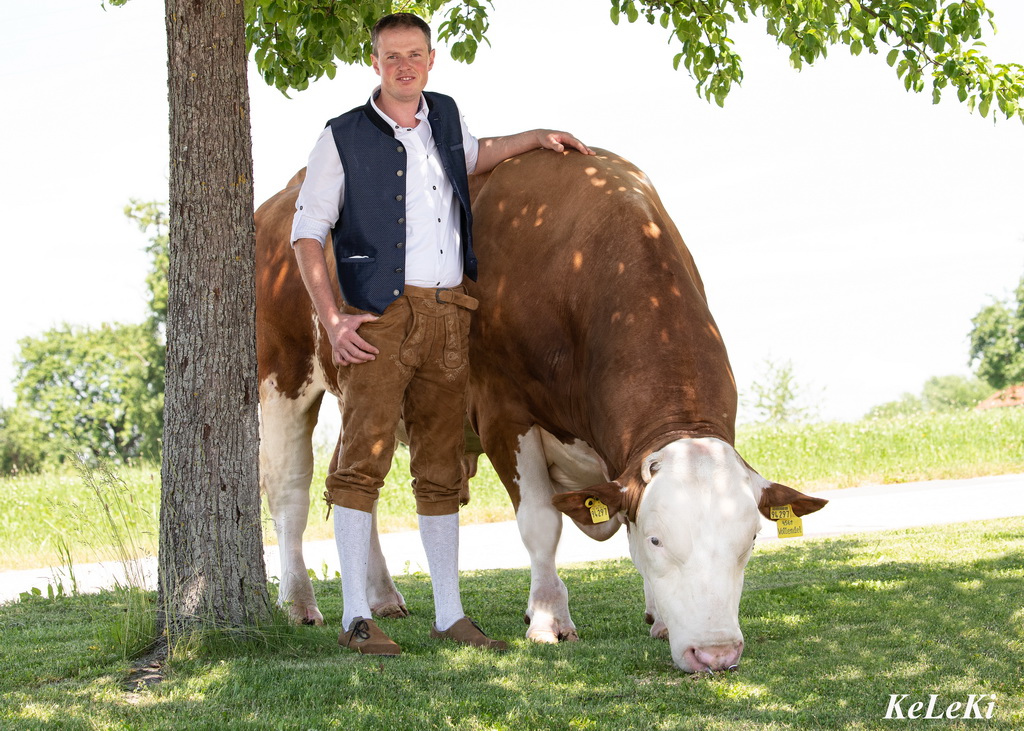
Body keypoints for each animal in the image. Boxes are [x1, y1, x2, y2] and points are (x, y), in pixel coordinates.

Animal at [253, 148, 823, 671]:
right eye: (660, 538)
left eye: (752, 539)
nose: (716, 653)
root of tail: (278, 201)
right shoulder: (505, 414)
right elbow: (541, 524)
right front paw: (549, 619)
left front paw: (659, 617)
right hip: (282, 378)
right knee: (291, 494)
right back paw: (300, 603)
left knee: (354, 484)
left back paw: (383, 597)